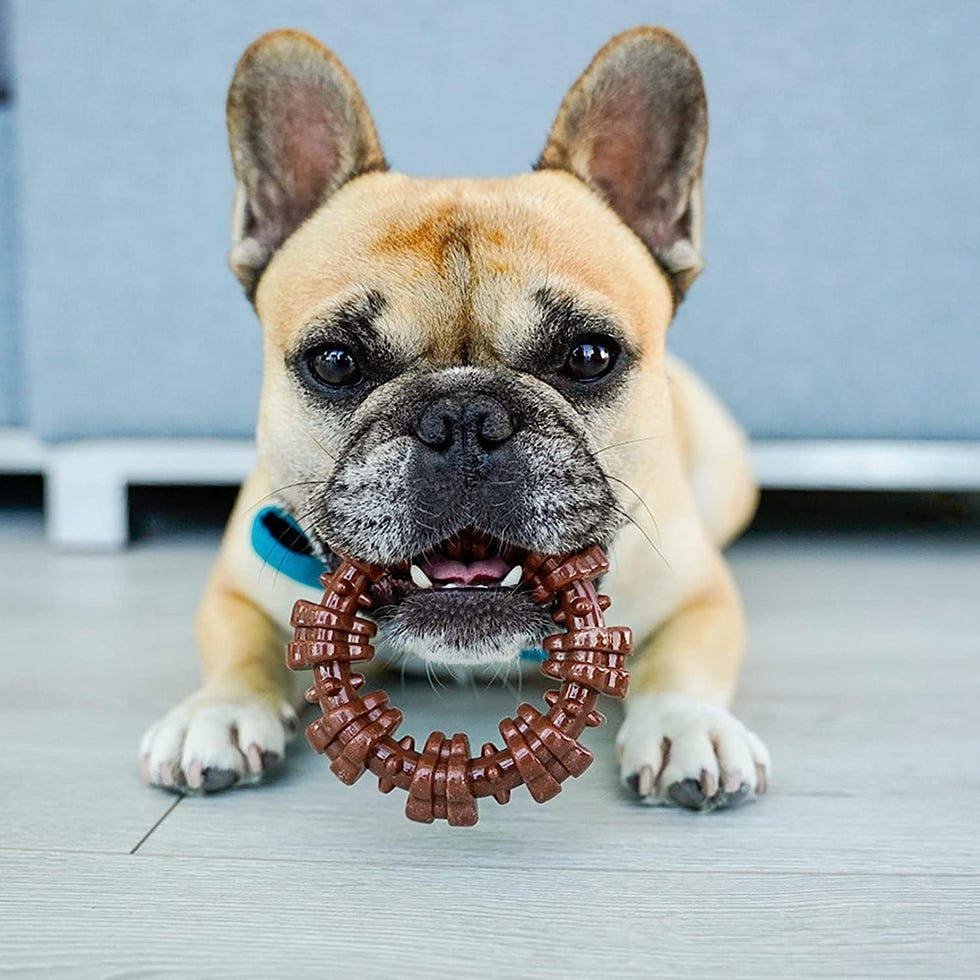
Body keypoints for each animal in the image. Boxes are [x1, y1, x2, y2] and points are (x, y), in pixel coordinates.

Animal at [138, 26, 768, 808]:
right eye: (335, 362)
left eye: (589, 355)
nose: (465, 421)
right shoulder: (237, 587)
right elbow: (239, 645)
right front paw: (218, 712)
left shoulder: (701, 597)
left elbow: (684, 660)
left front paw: (687, 727)